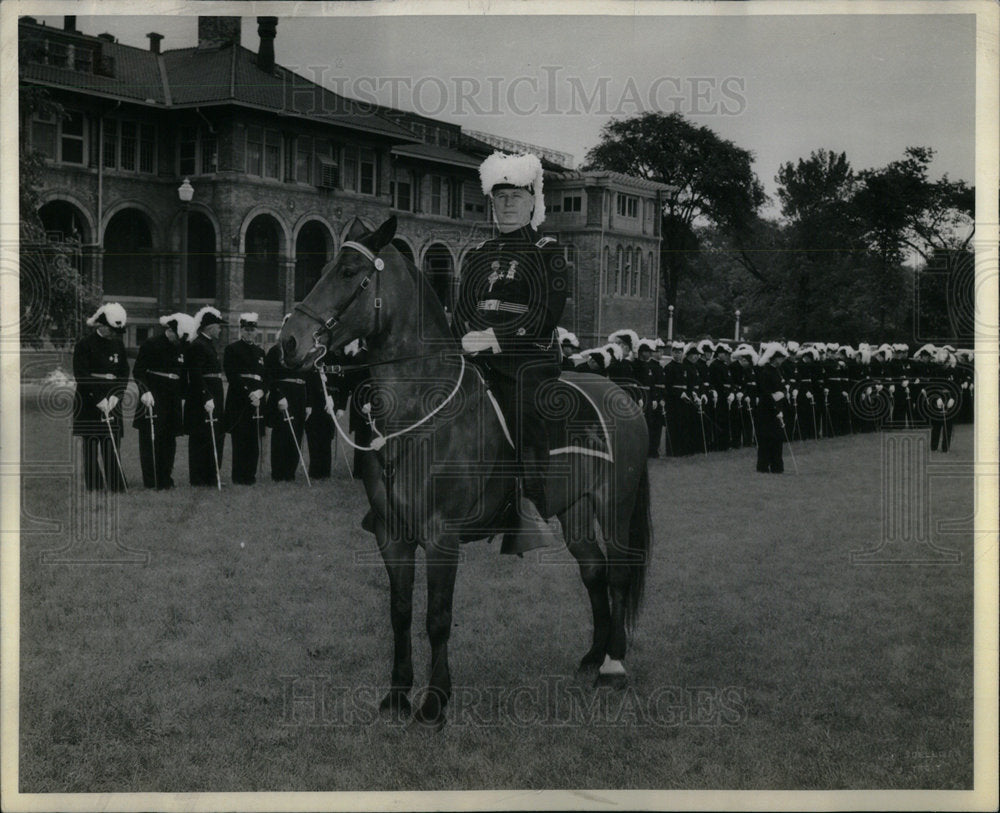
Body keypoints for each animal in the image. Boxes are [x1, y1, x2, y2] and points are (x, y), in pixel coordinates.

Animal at [282, 216, 652, 728]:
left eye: (349, 271)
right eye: (321, 267)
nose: (289, 341)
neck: (419, 413)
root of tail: (622, 393)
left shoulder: (442, 537)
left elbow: (437, 618)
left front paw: (434, 700)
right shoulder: (392, 536)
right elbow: (400, 613)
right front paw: (397, 694)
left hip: (615, 505)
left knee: (617, 574)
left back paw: (614, 665)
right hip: (573, 510)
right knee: (593, 571)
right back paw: (592, 657)